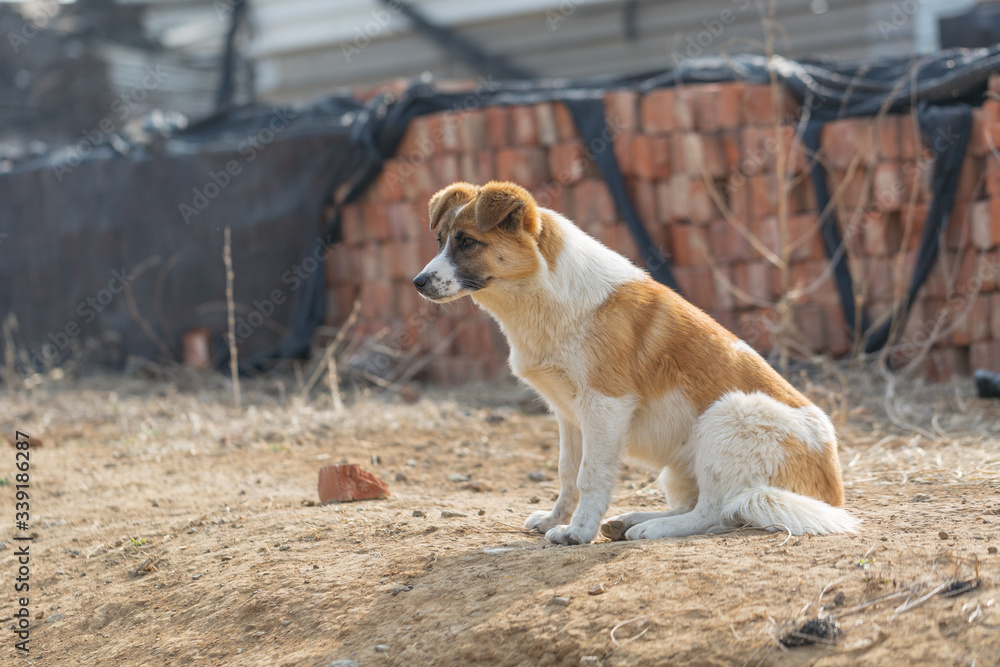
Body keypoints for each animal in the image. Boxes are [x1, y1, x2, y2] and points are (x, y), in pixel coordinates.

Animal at [412, 181, 858, 544]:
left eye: (468, 242)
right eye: (440, 240)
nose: (417, 283)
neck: (546, 293)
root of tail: (832, 496)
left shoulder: (605, 405)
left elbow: (590, 475)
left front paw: (577, 532)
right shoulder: (568, 414)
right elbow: (567, 474)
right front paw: (557, 521)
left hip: (729, 415)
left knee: (716, 512)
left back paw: (652, 528)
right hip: (682, 466)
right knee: (700, 506)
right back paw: (630, 521)